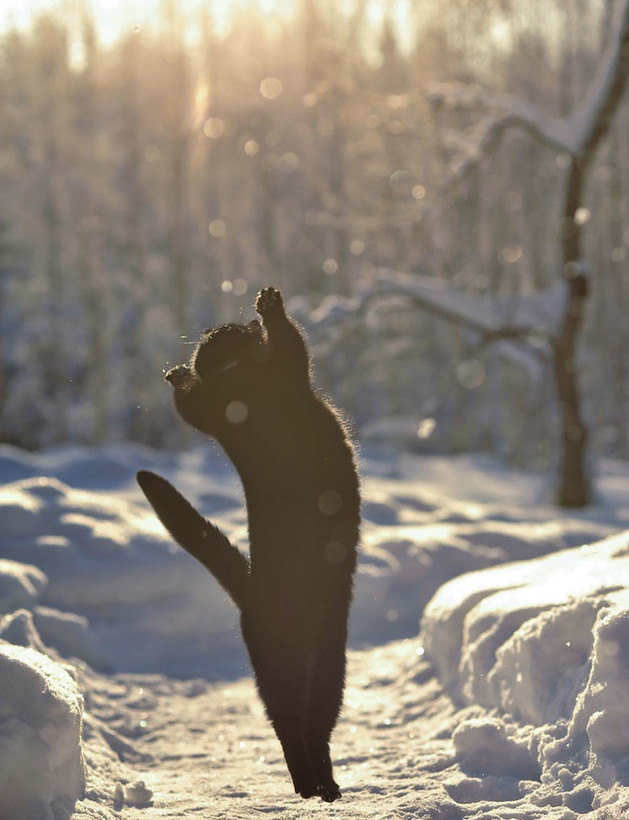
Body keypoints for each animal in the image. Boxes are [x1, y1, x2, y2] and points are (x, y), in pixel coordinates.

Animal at [139, 286, 360, 800]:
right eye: (222, 330)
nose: (218, 326)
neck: (245, 382)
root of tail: (250, 595)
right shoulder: (281, 372)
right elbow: (289, 339)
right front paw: (269, 305)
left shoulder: (246, 395)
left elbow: (193, 406)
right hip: (280, 671)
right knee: (291, 727)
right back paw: (312, 786)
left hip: (328, 670)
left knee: (310, 726)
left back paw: (323, 786)